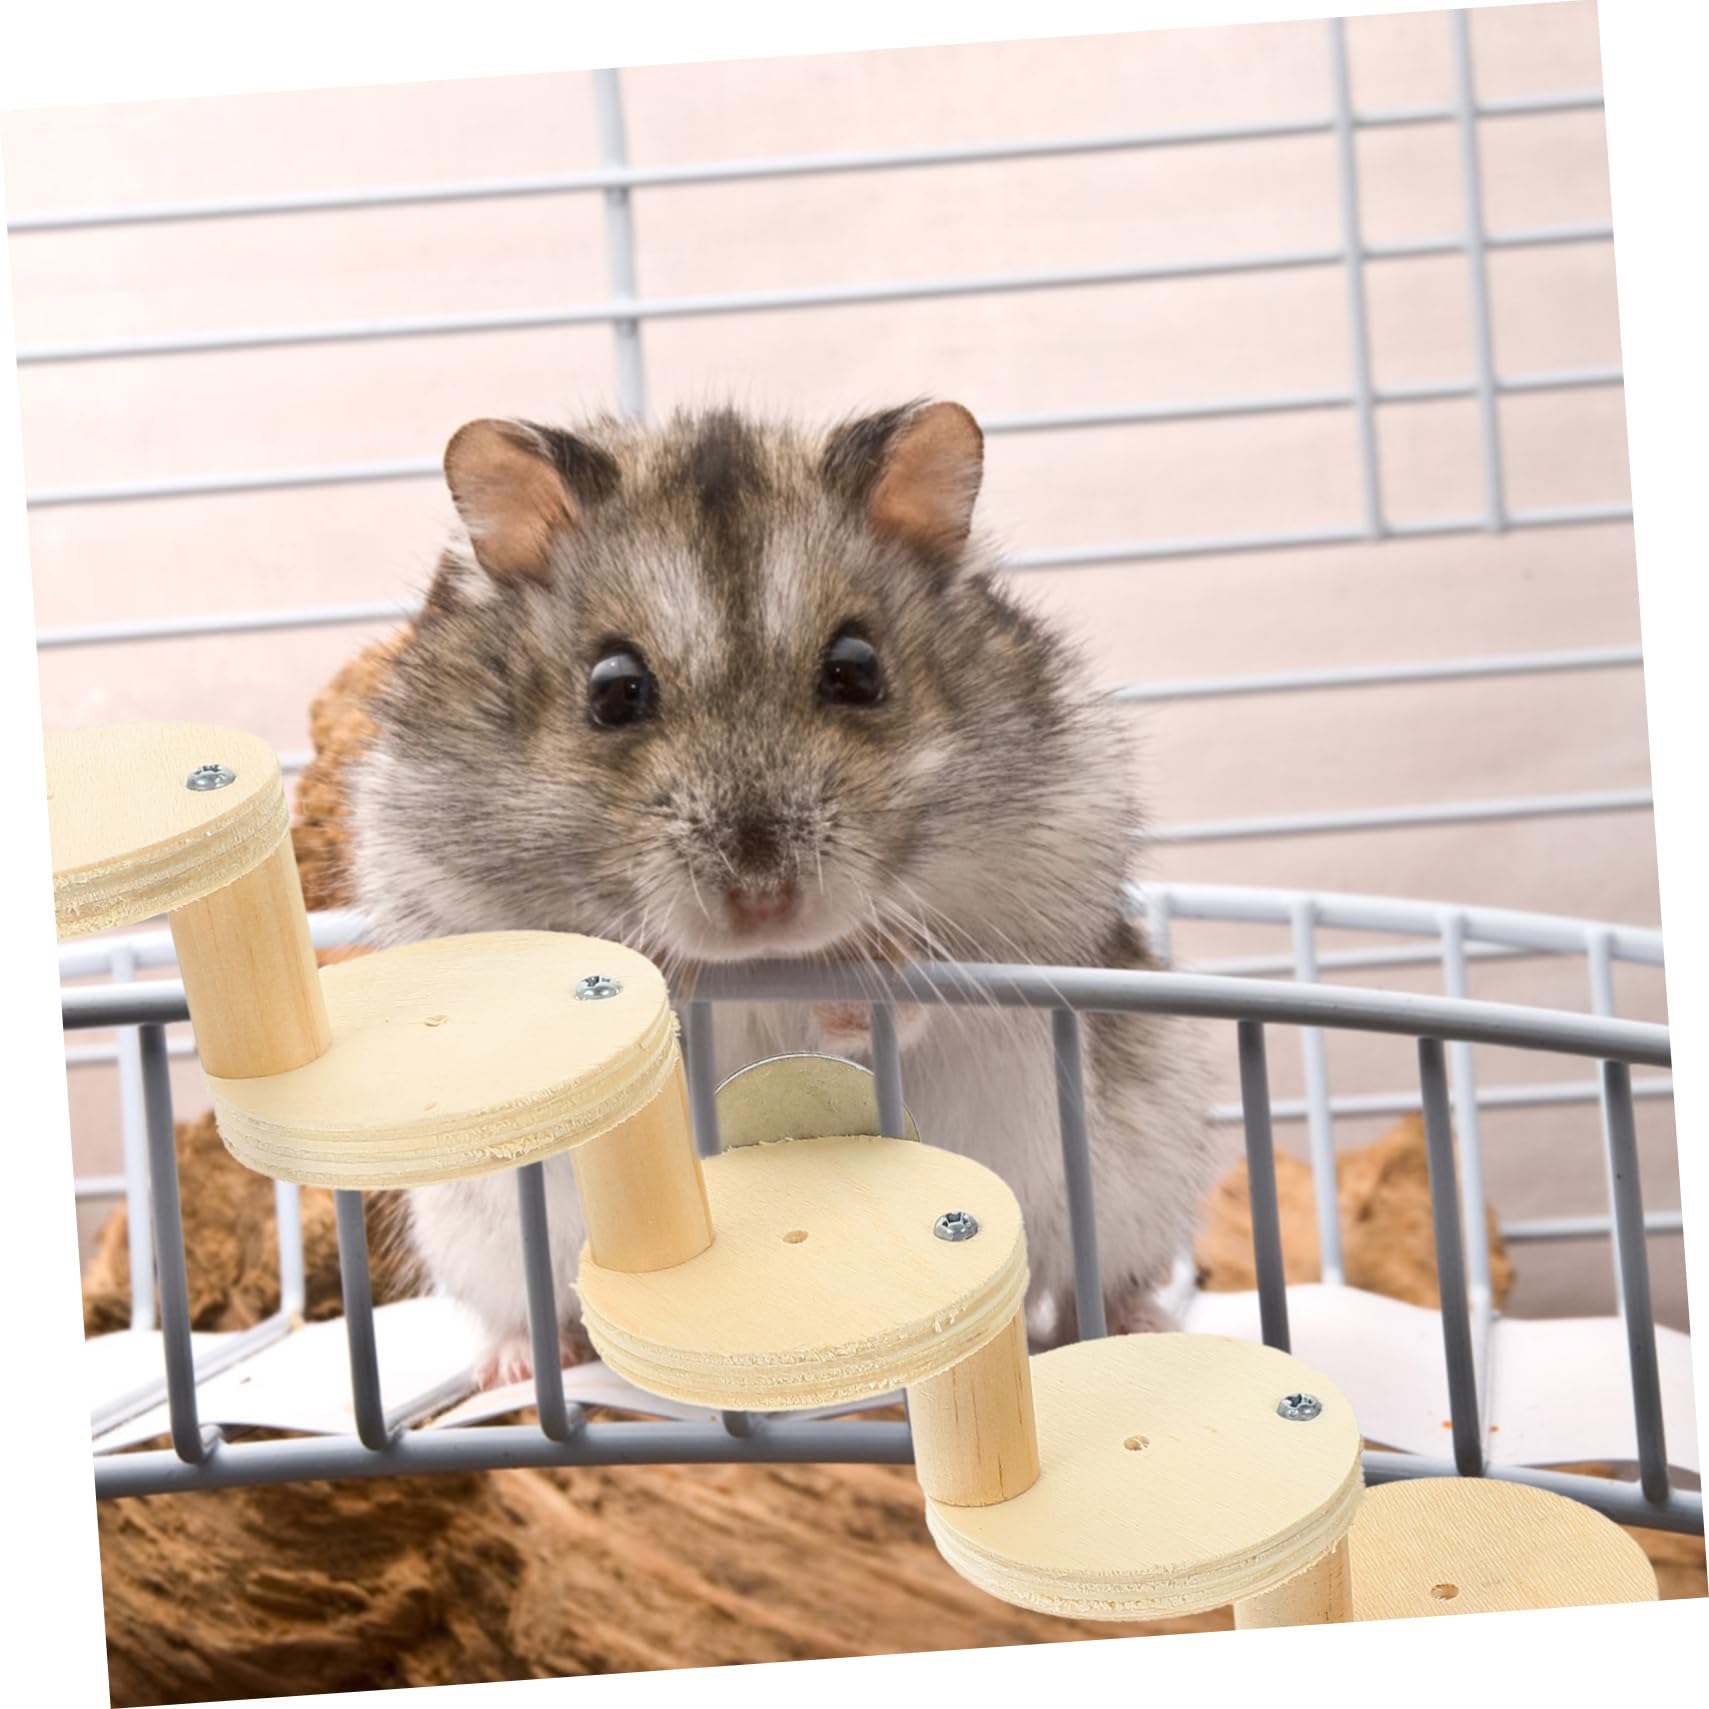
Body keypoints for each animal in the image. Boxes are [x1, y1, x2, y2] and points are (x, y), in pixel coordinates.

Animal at [348, 399, 1223, 1387]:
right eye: (614, 688)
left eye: (857, 668)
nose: (762, 900)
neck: (763, 968)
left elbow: (915, 1003)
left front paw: (855, 971)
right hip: (475, 1233)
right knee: (523, 1307)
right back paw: (521, 1364)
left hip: (1135, 1184)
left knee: (1093, 1285)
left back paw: (1137, 1321)